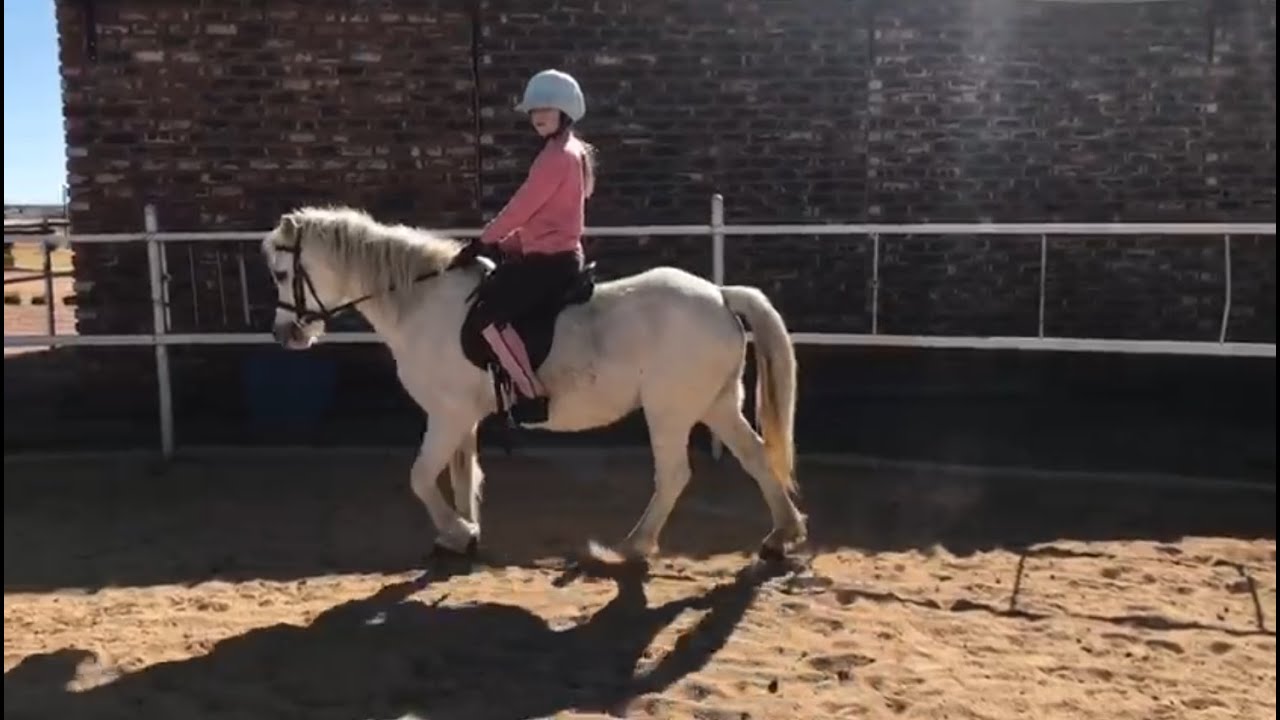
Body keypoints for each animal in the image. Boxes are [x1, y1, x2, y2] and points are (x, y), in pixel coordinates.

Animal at [261, 205, 807, 563]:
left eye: (283, 272)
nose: (285, 334)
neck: (423, 305)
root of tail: (719, 294)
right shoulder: (462, 417)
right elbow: (462, 474)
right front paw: (464, 536)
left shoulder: (447, 414)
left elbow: (420, 476)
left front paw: (457, 529)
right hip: (716, 402)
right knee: (756, 457)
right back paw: (782, 534)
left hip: (669, 411)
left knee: (674, 475)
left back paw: (631, 546)